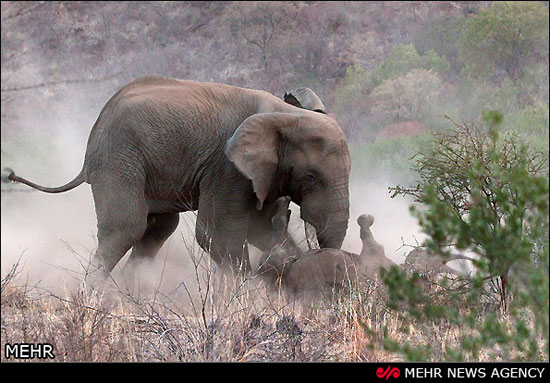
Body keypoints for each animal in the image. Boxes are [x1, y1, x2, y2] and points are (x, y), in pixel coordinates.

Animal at [6, 77, 352, 280]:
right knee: (125, 229)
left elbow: (260, 229)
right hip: (118, 159)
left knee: (157, 229)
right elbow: (216, 234)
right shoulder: (226, 167)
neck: (285, 115)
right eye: (310, 176)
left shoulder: (262, 173)